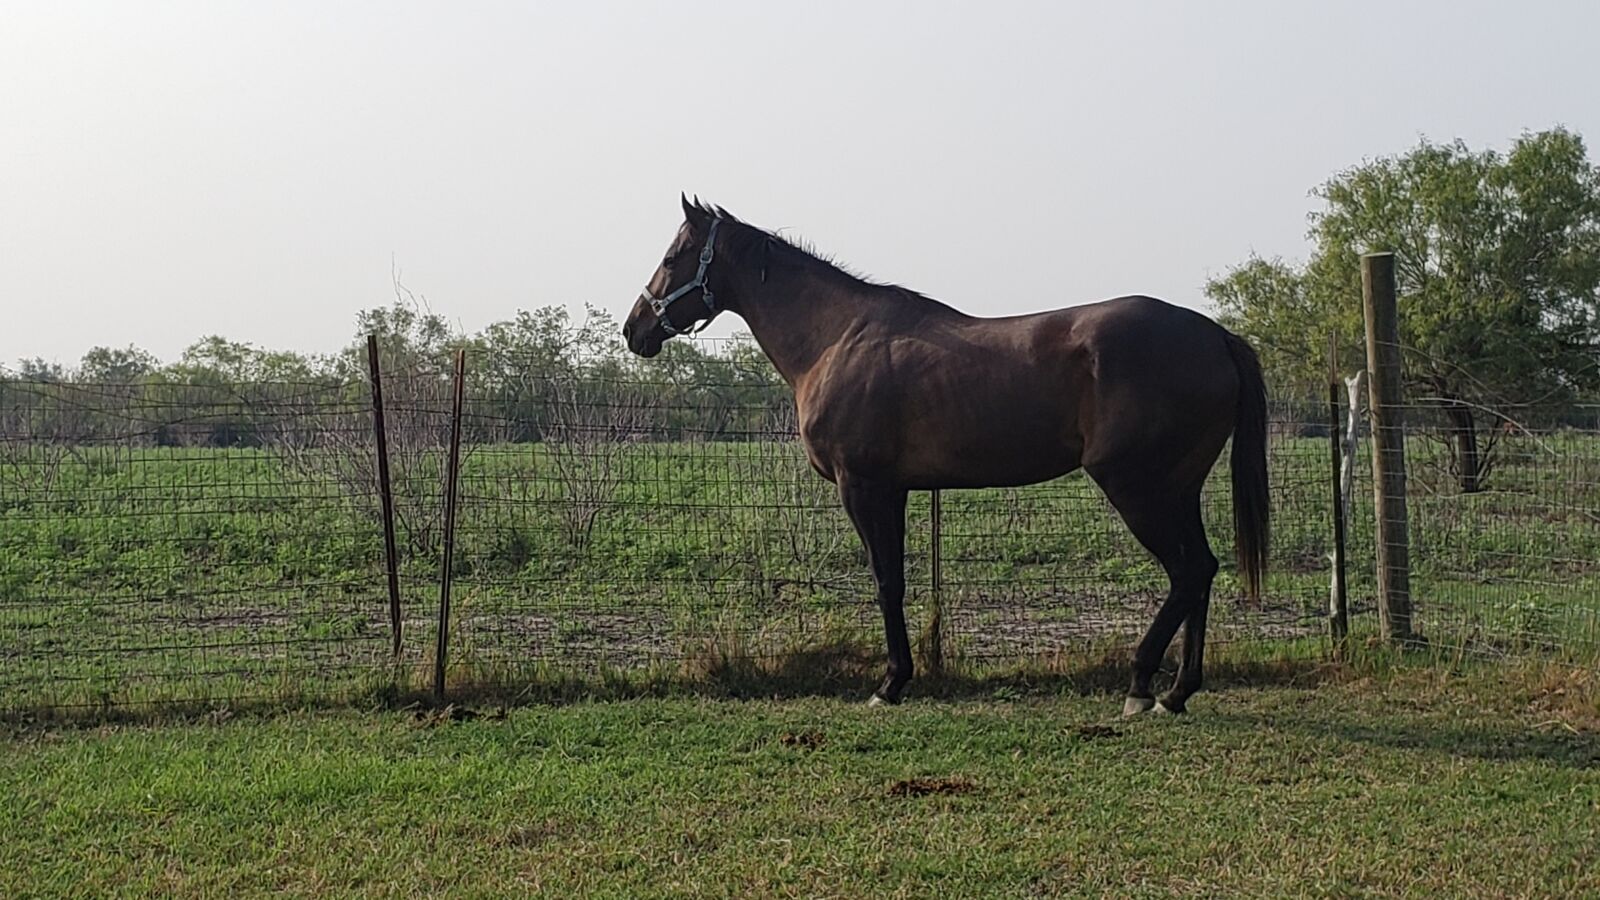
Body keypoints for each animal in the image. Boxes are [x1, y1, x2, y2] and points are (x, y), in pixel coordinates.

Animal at [620, 197, 1260, 714]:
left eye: (674, 257)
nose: (635, 329)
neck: (836, 338)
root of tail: (1215, 335)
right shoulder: (896, 490)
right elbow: (897, 579)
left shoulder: (863, 487)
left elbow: (885, 581)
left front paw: (890, 684)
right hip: (1177, 489)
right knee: (1202, 570)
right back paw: (1177, 691)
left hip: (1135, 487)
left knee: (1186, 572)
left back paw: (1141, 685)